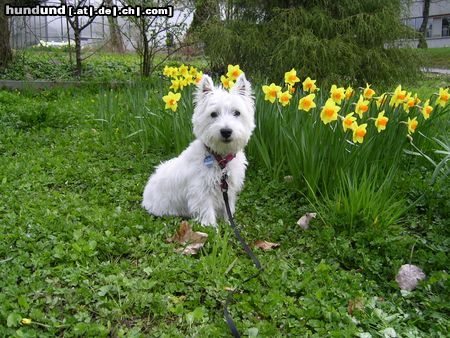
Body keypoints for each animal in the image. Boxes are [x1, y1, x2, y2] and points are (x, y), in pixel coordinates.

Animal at [142, 74, 255, 227]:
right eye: (213, 114)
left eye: (237, 113)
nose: (226, 131)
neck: (221, 159)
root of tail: (145, 195)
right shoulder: (201, 191)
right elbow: (207, 211)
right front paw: (212, 227)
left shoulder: (228, 188)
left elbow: (228, 208)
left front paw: (229, 223)